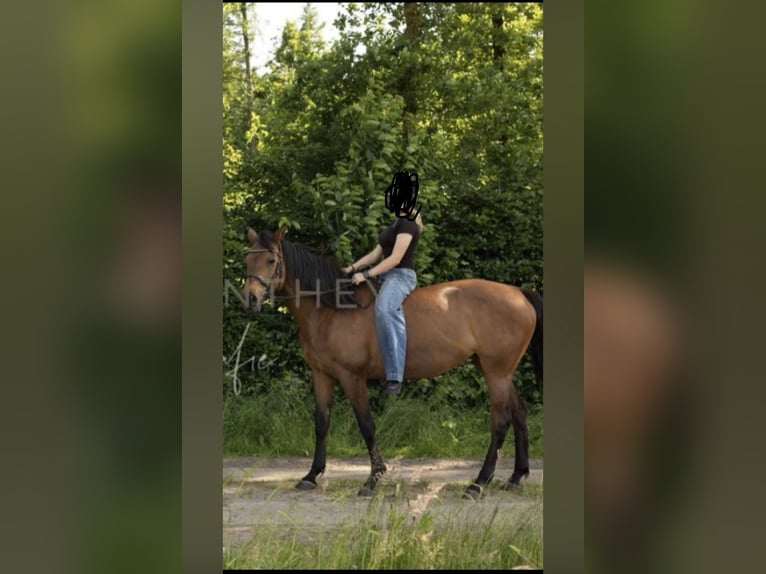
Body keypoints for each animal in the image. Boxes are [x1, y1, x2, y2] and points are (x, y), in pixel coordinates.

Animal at [241, 224, 543, 499]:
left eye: (271, 261)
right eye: (247, 260)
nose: (250, 299)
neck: (333, 308)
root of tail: (518, 292)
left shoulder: (352, 377)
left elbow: (366, 425)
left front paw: (373, 479)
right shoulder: (321, 374)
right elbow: (321, 423)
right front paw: (311, 475)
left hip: (496, 371)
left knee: (501, 421)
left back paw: (478, 484)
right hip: (495, 369)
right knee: (519, 412)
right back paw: (515, 477)